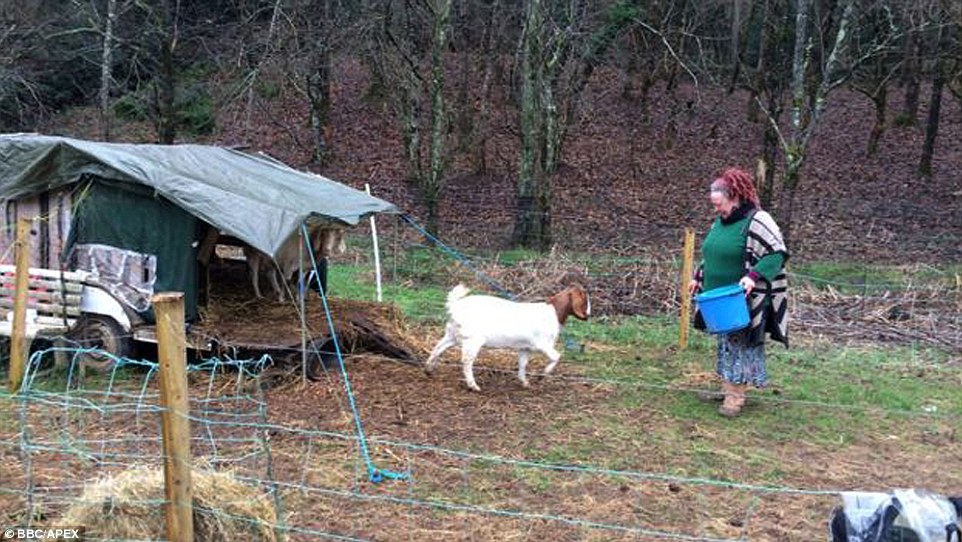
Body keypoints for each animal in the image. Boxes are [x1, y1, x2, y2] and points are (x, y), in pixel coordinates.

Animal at [424, 284, 588, 392]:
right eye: (585, 300)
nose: (588, 315)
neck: (553, 313)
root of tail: (455, 306)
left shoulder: (525, 347)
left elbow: (522, 364)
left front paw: (525, 382)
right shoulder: (543, 344)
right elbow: (556, 356)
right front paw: (542, 375)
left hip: (452, 334)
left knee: (438, 348)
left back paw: (428, 370)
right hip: (472, 339)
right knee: (466, 361)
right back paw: (473, 386)